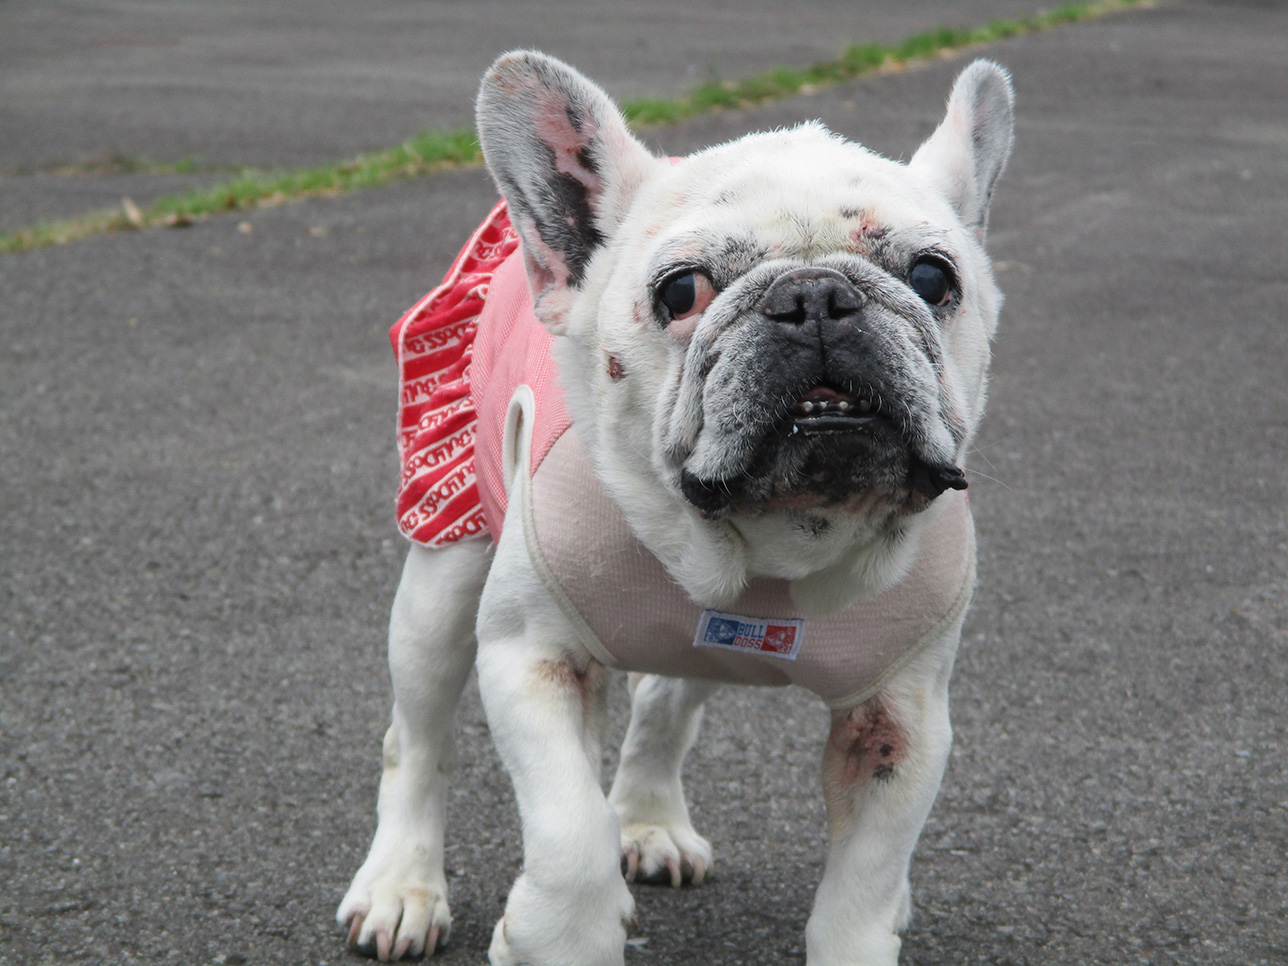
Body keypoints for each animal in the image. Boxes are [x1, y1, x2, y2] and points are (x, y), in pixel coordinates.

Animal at [338, 49, 1013, 965]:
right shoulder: (531, 657)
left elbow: (863, 882)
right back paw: (400, 888)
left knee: (667, 699)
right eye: (681, 291)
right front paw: (558, 934)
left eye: (933, 277)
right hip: (445, 569)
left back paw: (649, 822)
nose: (815, 297)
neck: (773, 542)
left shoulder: (900, 721)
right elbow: (568, 827)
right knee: (417, 736)